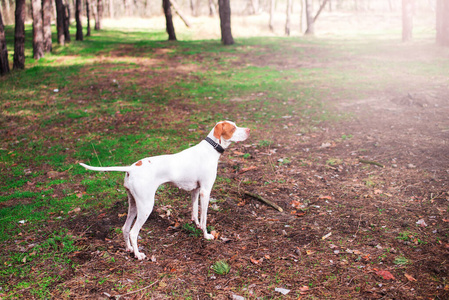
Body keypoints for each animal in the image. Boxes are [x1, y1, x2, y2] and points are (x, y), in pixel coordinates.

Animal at [79, 120, 248, 258]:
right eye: (233, 128)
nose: (249, 129)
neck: (210, 149)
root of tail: (131, 168)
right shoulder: (205, 191)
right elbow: (205, 218)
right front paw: (206, 235)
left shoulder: (195, 191)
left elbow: (195, 213)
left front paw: (197, 225)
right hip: (146, 206)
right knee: (133, 232)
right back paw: (138, 255)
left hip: (133, 205)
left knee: (125, 229)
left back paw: (129, 249)